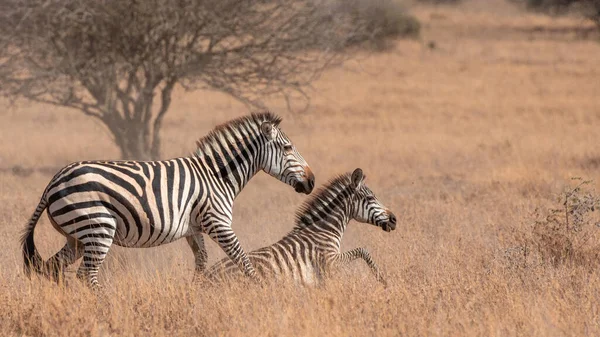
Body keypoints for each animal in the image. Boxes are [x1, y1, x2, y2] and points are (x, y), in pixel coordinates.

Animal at [21, 111, 316, 288]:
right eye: (288, 147)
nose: (312, 181)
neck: (217, 176)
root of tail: (53, 182)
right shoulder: (218, 223)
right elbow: (243, 261)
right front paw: (261, 290)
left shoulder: (194, 228)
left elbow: (202, 262)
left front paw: (197, 294)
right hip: (98, 228)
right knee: (86, 274)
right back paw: (104, 305)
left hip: (77, 236)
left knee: (52, 268)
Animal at [204, 168, 396, 286]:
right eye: (370, 198)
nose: (394, 219)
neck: (324, 230)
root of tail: (205, 275)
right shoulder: (329, 260)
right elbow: (363, 250)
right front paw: (382, 279)